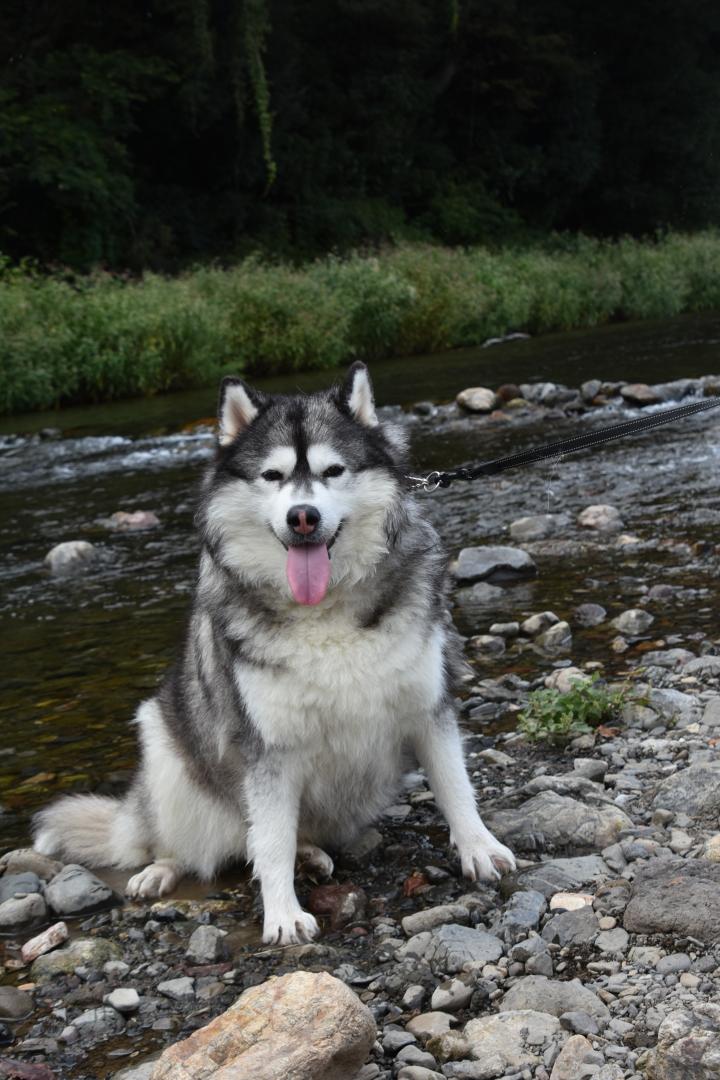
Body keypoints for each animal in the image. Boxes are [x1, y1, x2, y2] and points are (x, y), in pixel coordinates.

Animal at [33, 365, 515, 946]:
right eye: (272, 475)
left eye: (333, 471)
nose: (302, 516)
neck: (323, 610)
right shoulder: (268, 751)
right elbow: (271, 841)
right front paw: (282, 914)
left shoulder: (429, 708)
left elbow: (455, 787)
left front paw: (479, 848)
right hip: (164, 747)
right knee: (189, 842)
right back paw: (162, 869)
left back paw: (311, 855)